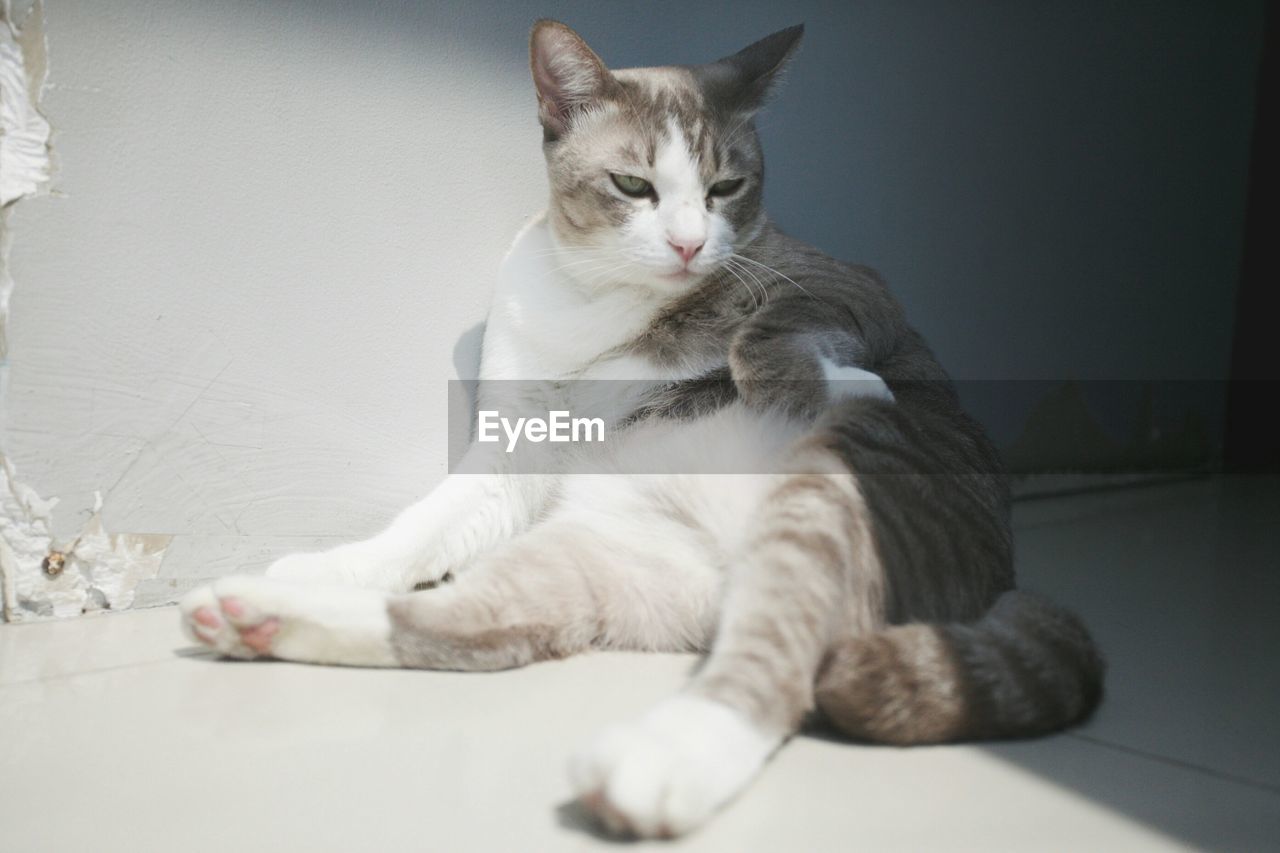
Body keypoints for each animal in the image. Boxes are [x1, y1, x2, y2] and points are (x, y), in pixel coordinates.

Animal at [177, 19, 1100, 835]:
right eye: (633, 186)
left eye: (726, 188)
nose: (691, 244)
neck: (598, 301)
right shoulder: (512, 452)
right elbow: (417, 530)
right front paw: (329, 565)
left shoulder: (851, 286)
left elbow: (759, 337)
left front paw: (844, 377)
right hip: (591, 558)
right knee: (458, 628)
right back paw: (257, 613)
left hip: (825, 500)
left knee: (774, 662)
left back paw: (664, 763)